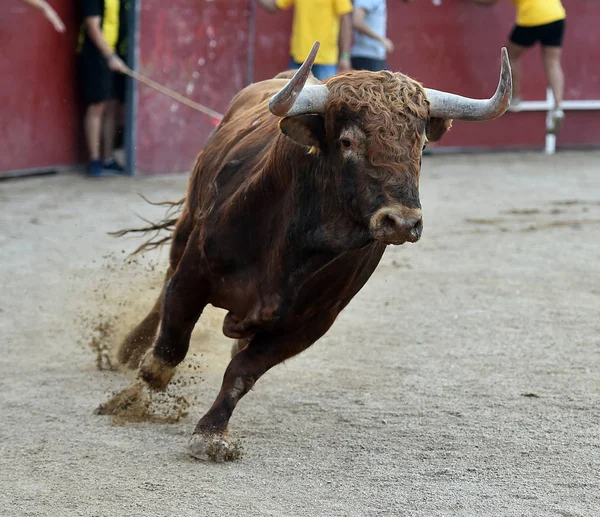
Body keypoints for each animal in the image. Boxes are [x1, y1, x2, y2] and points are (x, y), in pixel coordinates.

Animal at [113, 41, 510, 460]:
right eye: (348, 141)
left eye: (420, 144)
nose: (402, 222)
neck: (293, 245)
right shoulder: (195, 274)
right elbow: (168, 349)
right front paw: (131, 398)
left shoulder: (310, 324)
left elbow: (241, 373)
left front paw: (212, 432)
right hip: (188, 223)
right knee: (164, 288)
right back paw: (127, 350)